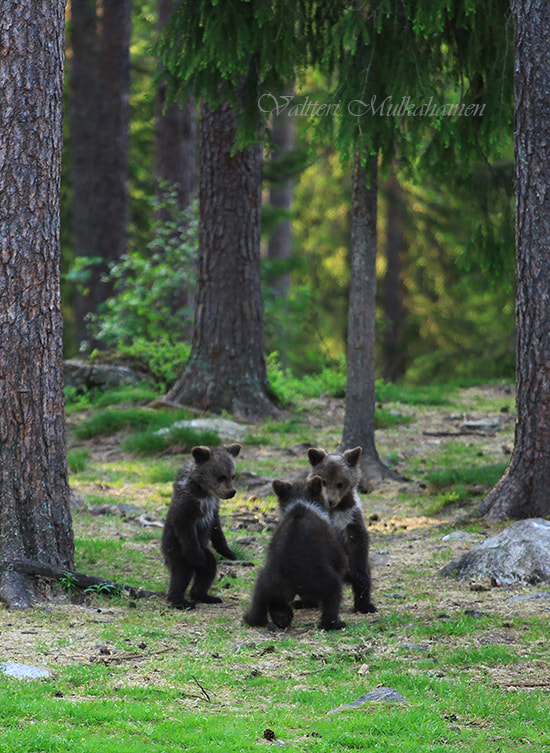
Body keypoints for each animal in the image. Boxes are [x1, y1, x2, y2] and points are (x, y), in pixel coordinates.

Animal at [161, 444, 240, 609]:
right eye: (221, 476)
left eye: (233, 475)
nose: (232, 491)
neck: (204, 492)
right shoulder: (187, 508)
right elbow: (186, 529)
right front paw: (196, 558)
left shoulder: (213, 508)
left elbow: (217, 530)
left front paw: (230, 552)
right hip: (177, 550)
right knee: (182, 573)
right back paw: (180, 601)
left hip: (205, 551)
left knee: (208, 568)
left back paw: (204, 596)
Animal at [243, 476, 347, 631]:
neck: (300, 501)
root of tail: (290, 574)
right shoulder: (332, 547)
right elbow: (341, 561)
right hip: (322, 575)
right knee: (333, 592)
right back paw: (334, 623)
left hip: (267, 578)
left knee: (259, 599)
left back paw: (259, 618)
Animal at [307, 446, 377, 614]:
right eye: (324, 481)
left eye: (340, 483)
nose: (330, 500)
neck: (334, 510)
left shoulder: (350, 517)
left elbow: (358, 541)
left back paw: (365, 605)